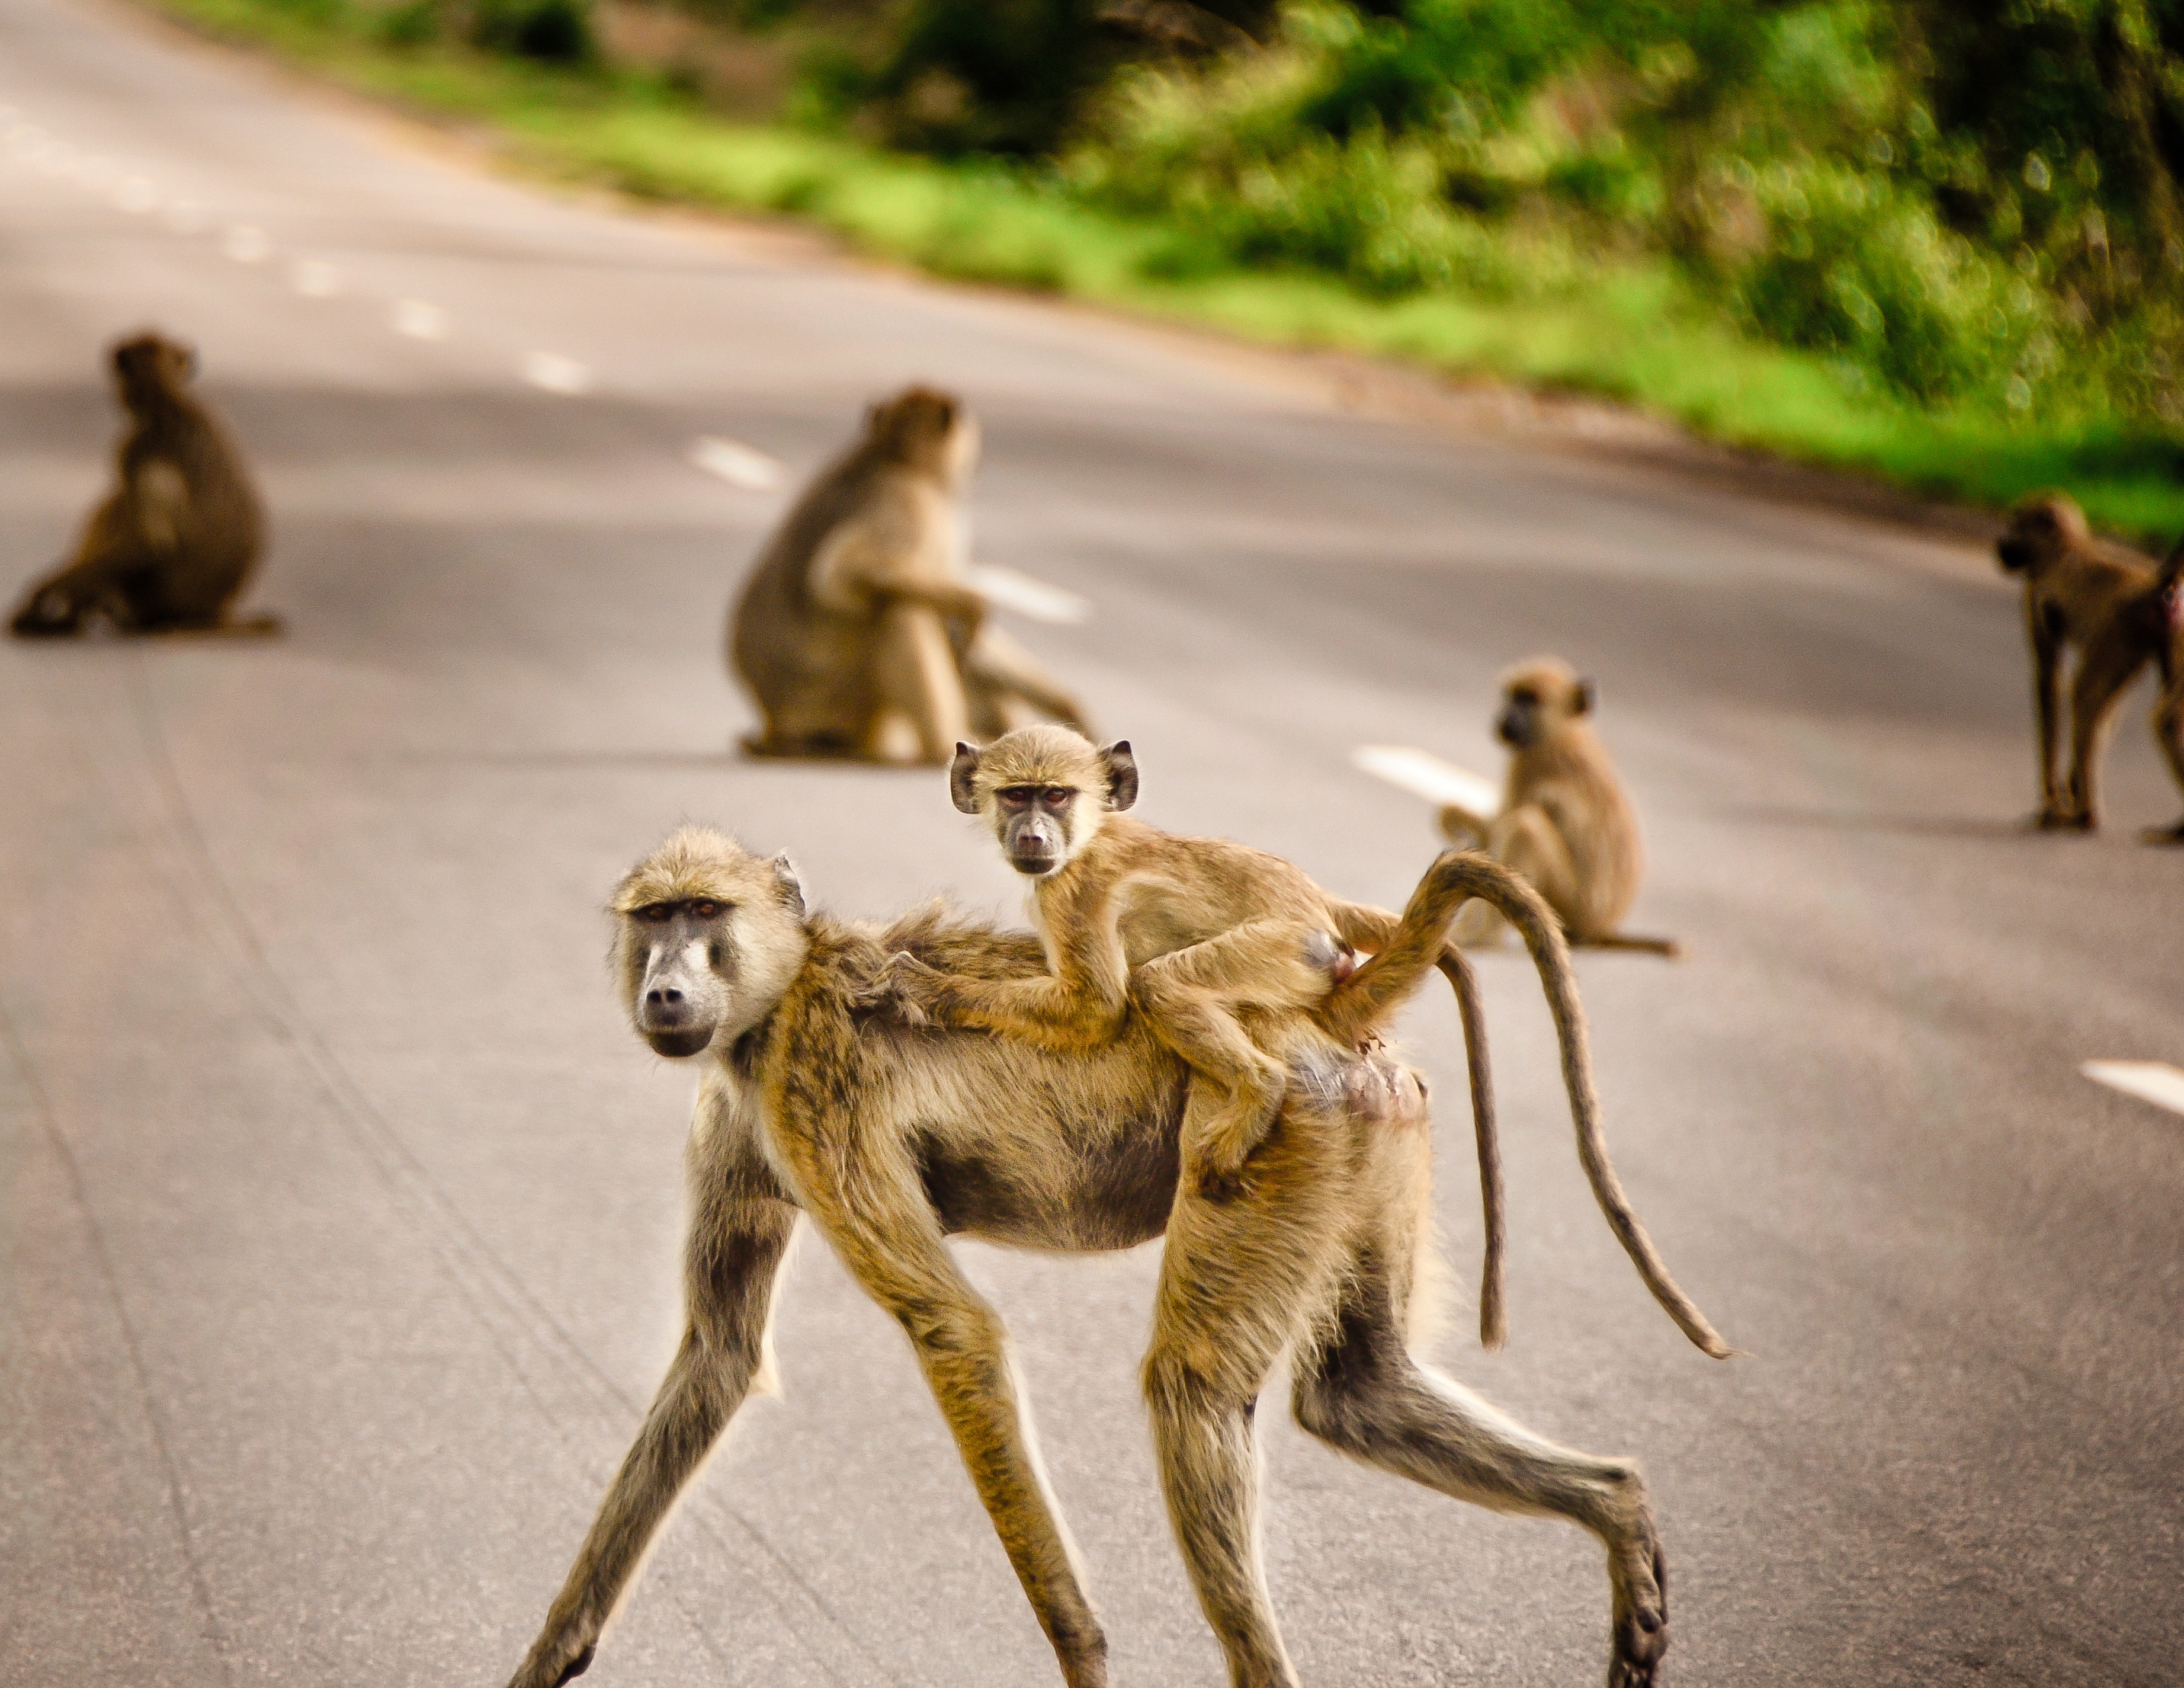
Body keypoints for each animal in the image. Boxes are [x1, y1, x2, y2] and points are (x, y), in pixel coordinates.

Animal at [9, 331, 274, 639]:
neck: (167, 398)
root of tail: (211, 616)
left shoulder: (133, 449)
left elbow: (150, 546)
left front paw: (46, 592)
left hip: (145, 600)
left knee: (117, 504)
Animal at [501, 828, 1714, 1688]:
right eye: (653, 917)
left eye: (705, 914)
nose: (664, 989)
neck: (780, 994)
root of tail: (1318, 1014)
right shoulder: (737, 1108)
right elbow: (717, 1352)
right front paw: (549, 1653)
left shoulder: (811, 1084)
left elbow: (955, 1330)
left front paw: (1084, 1653)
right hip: (1362, 1128)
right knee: (1356, 1393)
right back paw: (1618, 1512)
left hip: (1273, 1134)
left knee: (1192, 1390)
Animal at [728, 386, 1089, 764]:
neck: (893, 455)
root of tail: (774, 727)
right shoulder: (908, 500)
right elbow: (846, 573)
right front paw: (975, 608)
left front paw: (1069, 708)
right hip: (840, 704)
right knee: (899, 609)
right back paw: (942, 747)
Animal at [1438, 657, 1680, 957]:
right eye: (1513, 696)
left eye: (1531, 700)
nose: (1505, 719)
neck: (1566, 730)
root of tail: (1600, 930)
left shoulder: (1530, 763)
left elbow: (1501, 829)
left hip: (1572, 903)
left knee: (1525, 827)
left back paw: (1481, 938)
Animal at [1994, 492, 2184, 842]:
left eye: (2016, 524)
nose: (1999, 544)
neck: (2067, 547)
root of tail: (2157, 587)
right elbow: (2108, 707)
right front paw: (2067, 790)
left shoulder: (2036, 590)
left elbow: (2049, 679)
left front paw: (2051, 803)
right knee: (2164, 718)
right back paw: (2176, 829)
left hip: (2121, 628)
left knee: (2084, 696)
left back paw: (2086, 817)